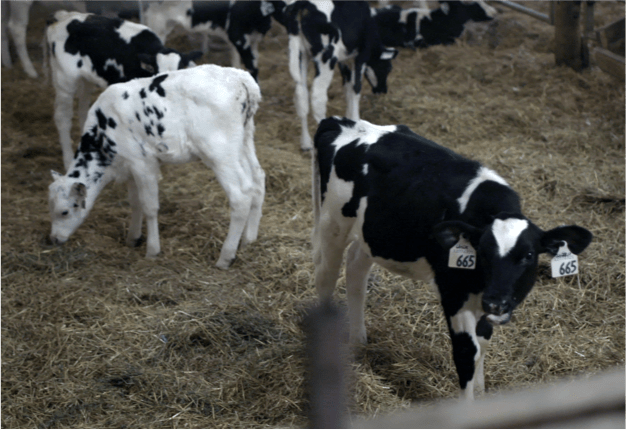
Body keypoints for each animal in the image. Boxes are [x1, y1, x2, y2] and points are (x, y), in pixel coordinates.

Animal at [47, 64, 266, 268]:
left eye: (64, 211)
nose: (54, 239)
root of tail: (240, 77)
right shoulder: (130, 167)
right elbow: (134, 202)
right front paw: (133, 238)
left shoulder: (143, 163)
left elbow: (149, 206)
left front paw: (152, 250)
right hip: (245, 140)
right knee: (257, 179)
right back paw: (249, 240)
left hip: (220, 152)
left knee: (241, 195)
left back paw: (225, 256)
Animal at [143, 0, 286, 81]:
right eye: (282, 4)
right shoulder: (238, 37)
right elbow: (252, 68)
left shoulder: (253, 40)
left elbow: (239, 62)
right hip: (157, 25)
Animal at [286, 0, 398, 151]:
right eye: (389, 67)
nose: (383, 90)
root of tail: (303, 4)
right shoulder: (361, 56)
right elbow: (356, 89)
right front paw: (356, 120)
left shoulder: (344, 61)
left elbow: (347, 89)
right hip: (326, 58)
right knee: (317, 98)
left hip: (300, 53)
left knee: (301, 95)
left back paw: (306, 143)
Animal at [310, 116, 588, 400]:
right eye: (483, 252)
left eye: (529, 255)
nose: (497, 302)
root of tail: (340, 121)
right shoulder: (453, 292)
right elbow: (467, 352)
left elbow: (483, 342)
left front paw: (482, 392)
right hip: (333, 224)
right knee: (325, 277)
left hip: (370, 234)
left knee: (356, 269)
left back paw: (358, 341)